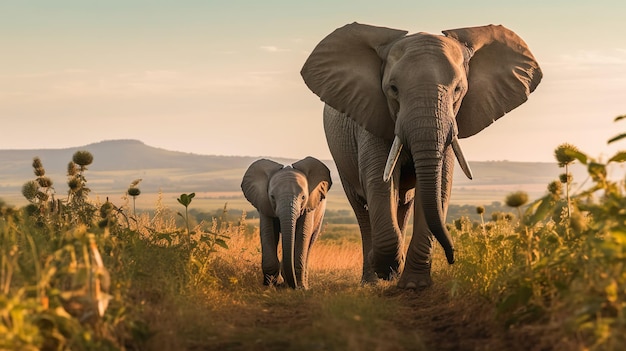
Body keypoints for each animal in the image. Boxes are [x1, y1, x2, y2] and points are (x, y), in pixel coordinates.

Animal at [240, 158, 332, 290]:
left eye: (303, 197)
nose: (295, 287)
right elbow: (268, 232)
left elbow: (302, 234)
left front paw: (300, 288)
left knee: (310, 242)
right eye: (272, 197)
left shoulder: (309, 206)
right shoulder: (264, 203)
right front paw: (269, 286)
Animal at [300, 23, 540, 290]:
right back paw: (372, 281)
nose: (452, 257)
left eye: (458, 90)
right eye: (393, 89)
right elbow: (379, 181)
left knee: (404, 203)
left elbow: (439, 185)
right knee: (362, 207)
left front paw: (413, 285)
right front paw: (387, 268)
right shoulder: (370, 114)